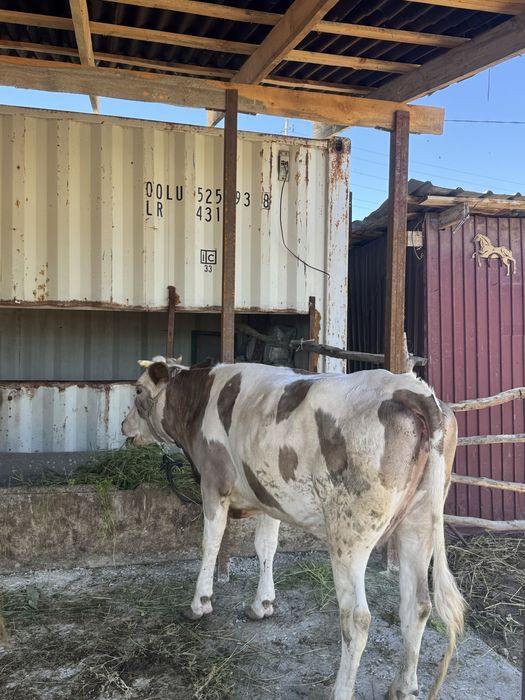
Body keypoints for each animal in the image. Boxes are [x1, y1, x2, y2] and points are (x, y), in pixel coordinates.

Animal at [122, 358, 464, 700]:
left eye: (137, 390)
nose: (124, 426)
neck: (200, 400)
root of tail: (411, 388)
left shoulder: (213, 482)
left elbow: (211, 543)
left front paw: (199, 604)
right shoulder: (268, 496)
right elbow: (265, 546)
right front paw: (262, 604)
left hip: (350, 534)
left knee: (357, 618)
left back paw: (342, 690)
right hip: (418, 524)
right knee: (417, 605)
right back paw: (403, 686)